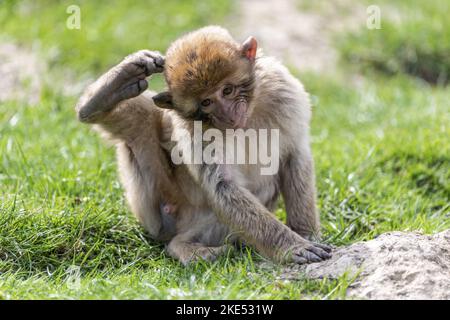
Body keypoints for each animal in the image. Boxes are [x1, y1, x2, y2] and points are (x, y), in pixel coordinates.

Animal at [76, 25, 330, 264]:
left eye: (227, 90)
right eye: (206, 102)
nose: (228, 114)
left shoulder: (284, 93)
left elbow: (295, 156)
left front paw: (305, 234)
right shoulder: (194, 131)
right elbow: (222, 185)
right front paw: (292, 246)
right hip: (160, 212)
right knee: (143, 121)